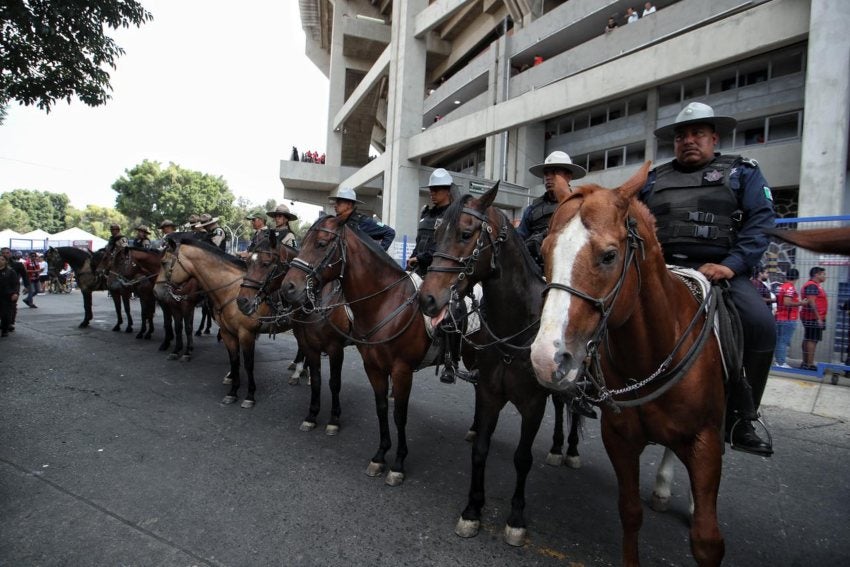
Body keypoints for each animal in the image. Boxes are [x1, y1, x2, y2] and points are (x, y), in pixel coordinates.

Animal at [235, 236, 352, 434]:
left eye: (266, 263)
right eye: (248, 262)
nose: (242, 301)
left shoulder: (336, 348)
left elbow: (334, 382)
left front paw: (334, 419)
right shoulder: (307, 342)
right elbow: (317, 379)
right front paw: (311, 415)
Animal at [528, 162, 724, 564]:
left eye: (609, 255)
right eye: (545, 251)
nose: (547, 358)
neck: (651, 356)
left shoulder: (707, 438)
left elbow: (706, 539)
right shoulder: (619, 438)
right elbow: (630, 512)